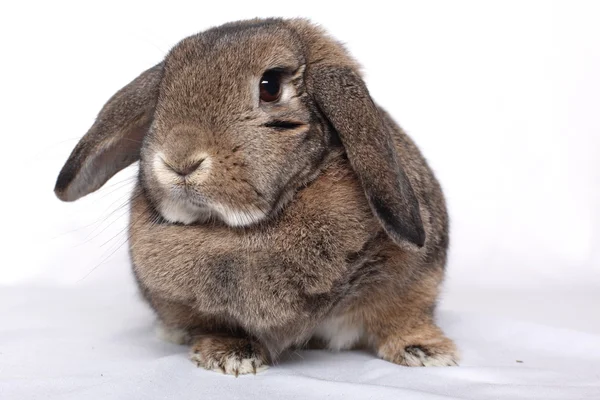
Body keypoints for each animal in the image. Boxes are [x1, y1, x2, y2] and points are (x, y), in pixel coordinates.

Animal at [56, 18, 460, 376]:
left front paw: (426, 352)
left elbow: (403, 314)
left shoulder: (414, 280)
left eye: (270, 86)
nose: (179, 160)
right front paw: (230, 356)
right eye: (161, 96)